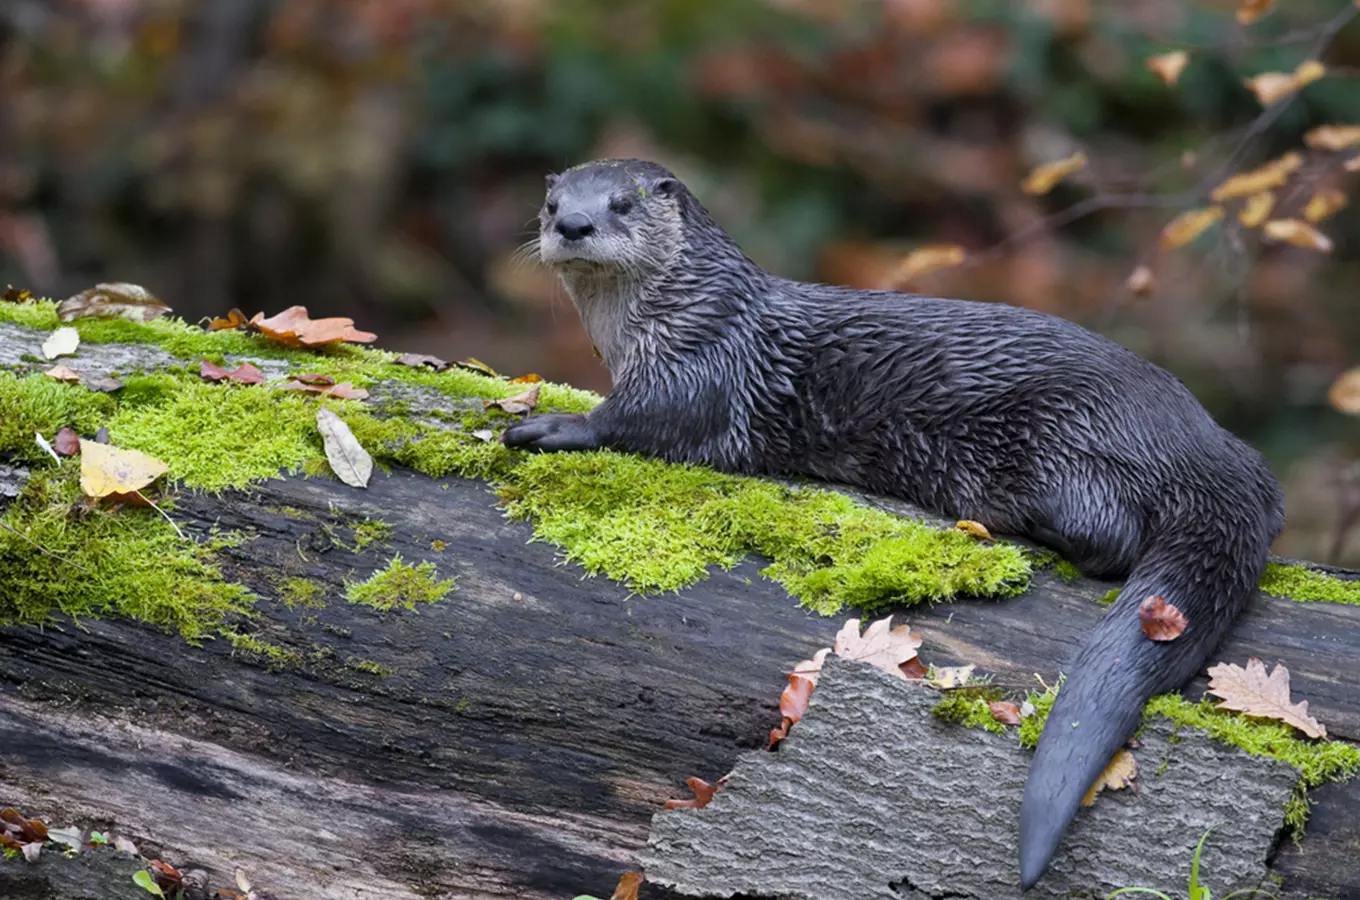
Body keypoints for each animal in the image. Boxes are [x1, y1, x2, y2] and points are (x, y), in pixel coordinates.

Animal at [508, 158, 1283, 891]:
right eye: (551, 203)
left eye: (622, 203)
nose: (572, 225)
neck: (673, 313)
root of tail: (1209, 446)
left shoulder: (698, 364)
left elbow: (643, 417)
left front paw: (553, 424)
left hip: (1073, 439)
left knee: (1111, 540)